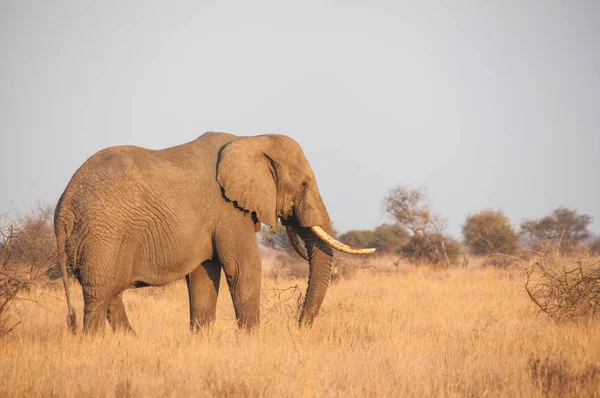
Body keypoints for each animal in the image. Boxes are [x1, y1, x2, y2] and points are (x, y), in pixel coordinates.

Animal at [55, 132, 376, 334]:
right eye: (305, 184)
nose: (298, 327)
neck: (250, 139)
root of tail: (64, 204)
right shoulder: (228, 210)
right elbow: (243, 267)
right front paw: (251, 341)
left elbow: (203, 276)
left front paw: (201, 340)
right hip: (103, 234)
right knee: (99, 294)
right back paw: (96, 342)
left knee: (111, 293)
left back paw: (130, 341)